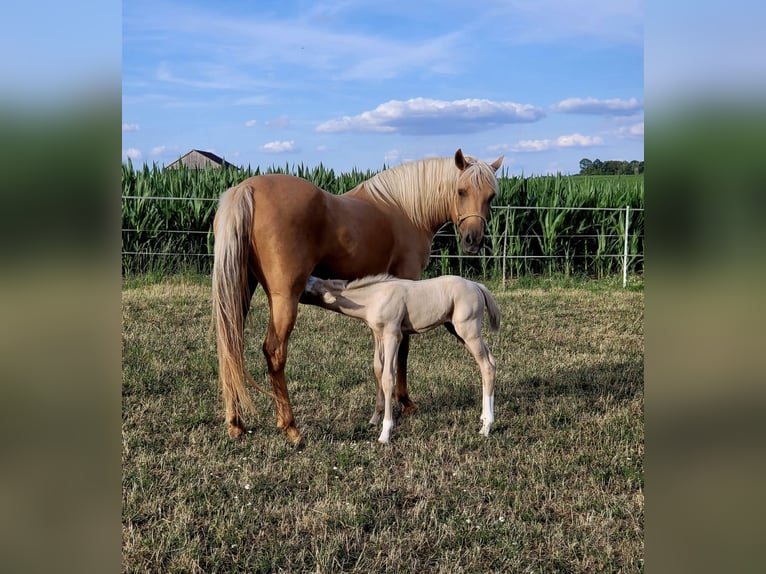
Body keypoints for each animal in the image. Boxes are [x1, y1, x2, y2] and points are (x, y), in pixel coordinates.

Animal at [302, 274, 500, 443]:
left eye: (309, 288)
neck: (374, 297)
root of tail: (477, 286)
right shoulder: (378, 335)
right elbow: (377, 370)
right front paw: (374, 419)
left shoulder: (393, 335)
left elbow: (388, 378)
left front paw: (385, 433)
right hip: (457, 331)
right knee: (490, 362)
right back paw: (484, 418)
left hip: (468, 330)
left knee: (487, 366)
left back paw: (486, 427)